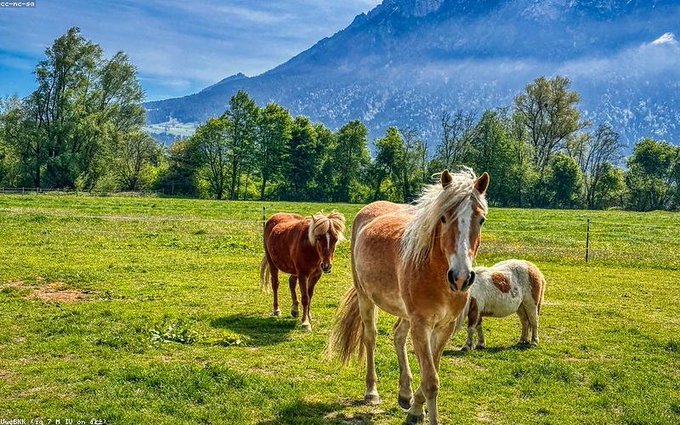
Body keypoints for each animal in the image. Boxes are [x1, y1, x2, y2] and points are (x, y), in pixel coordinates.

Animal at [328, 169, 489, 425]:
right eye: (443, 218)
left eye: (481, 219)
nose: (461, 277)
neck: (435, 273)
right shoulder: (421, 325)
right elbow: (431, 381)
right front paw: (420, 412)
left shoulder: (445, 326)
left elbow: (431, 371)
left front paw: (415, 406)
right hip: (366, 299)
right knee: (370, 337)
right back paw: (371, 392)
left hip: (405, 314)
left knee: (398, 336)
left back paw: (404, 393)